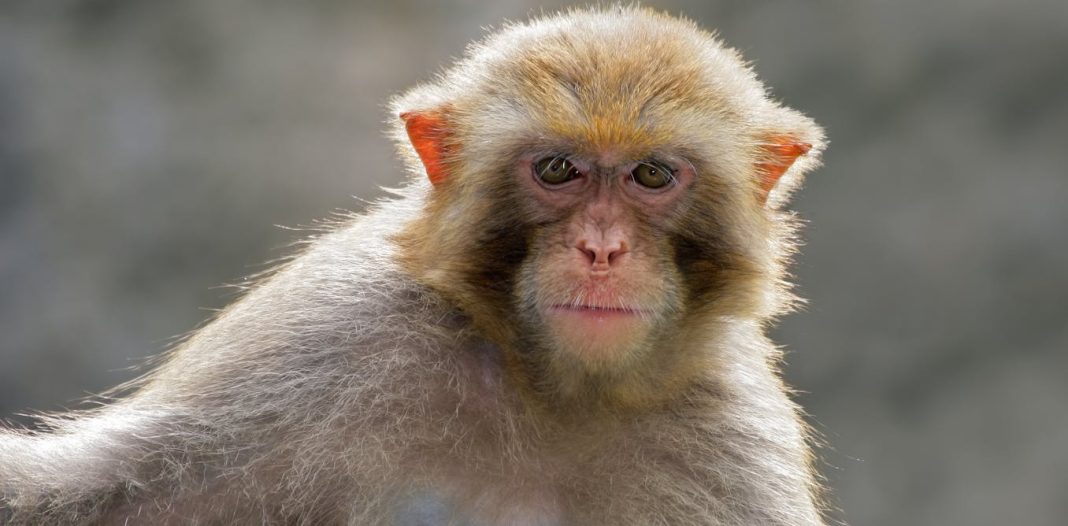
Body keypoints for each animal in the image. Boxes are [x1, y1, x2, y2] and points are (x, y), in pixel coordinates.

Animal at [0, 5, 824, 524]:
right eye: (557, 170)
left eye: (652, 176)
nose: (602, 248)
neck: (555, 394)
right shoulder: (329, 344)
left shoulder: (731, 437)